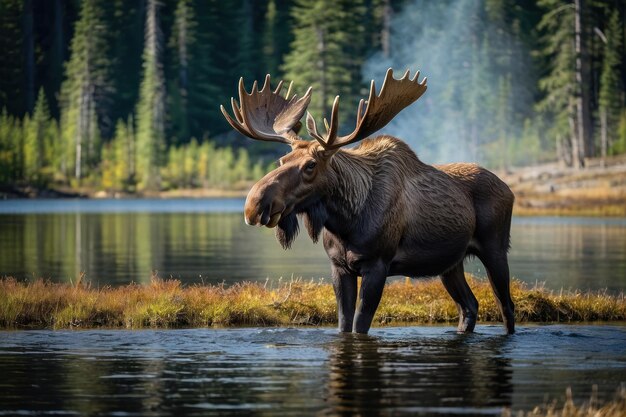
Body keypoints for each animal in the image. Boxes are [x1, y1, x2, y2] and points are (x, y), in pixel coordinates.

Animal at [222, 68, 516, 334]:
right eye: (282, 160)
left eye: (310, 165)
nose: (254, 205)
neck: (346, 222)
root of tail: (509, 190)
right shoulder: (339, 267)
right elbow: (344, 324)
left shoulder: (377, 265)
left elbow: (360, 324)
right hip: (450, 263)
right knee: (469, 306)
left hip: (495, 248)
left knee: (506, 305)